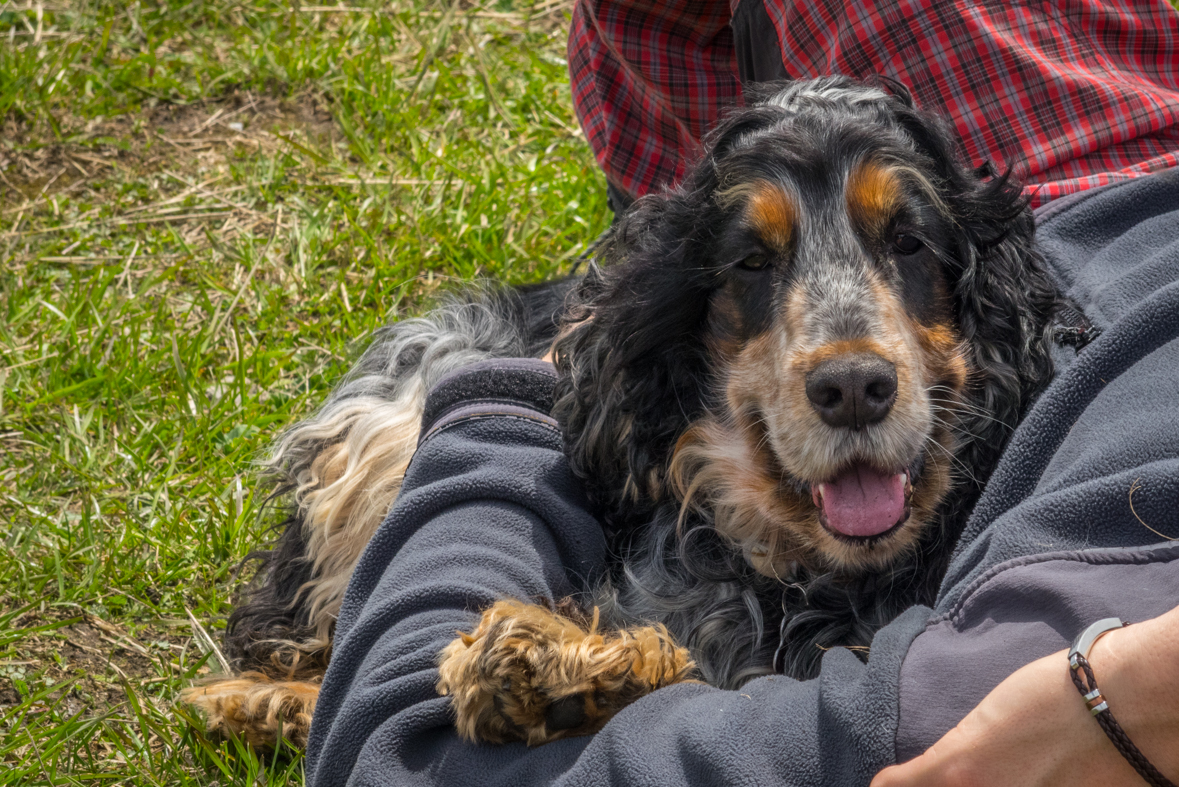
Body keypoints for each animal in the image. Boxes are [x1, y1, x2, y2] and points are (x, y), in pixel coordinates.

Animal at [183, 78, 1079, 749]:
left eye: (909, 242)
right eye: (749, 260)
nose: (853, 386)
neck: (797, 579)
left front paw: (558, 668)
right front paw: (549, 663)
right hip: (391, 416)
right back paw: (266, 698)